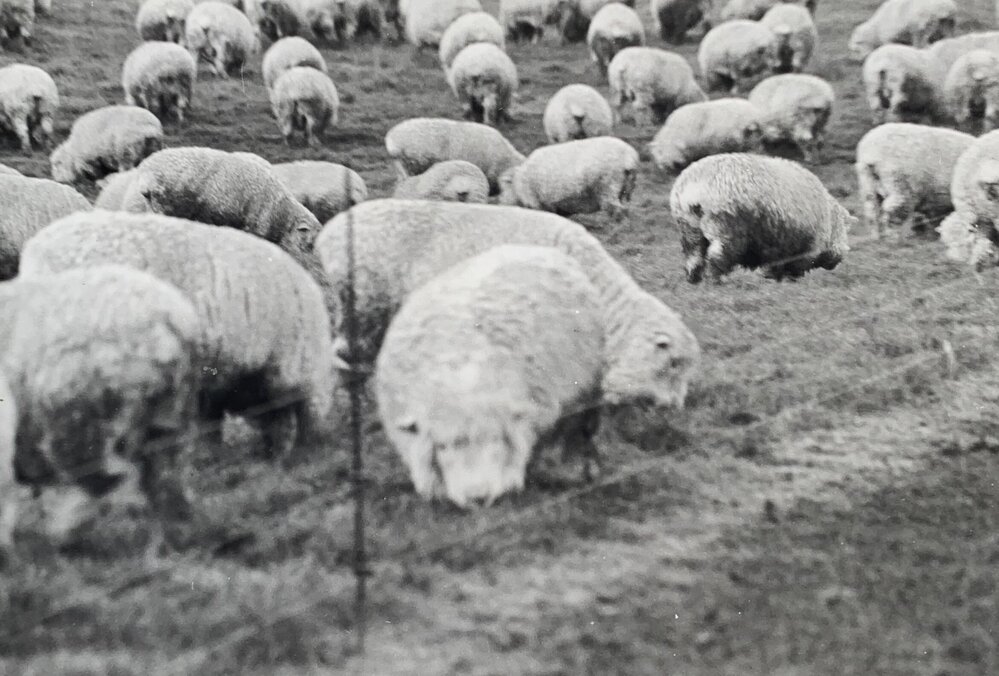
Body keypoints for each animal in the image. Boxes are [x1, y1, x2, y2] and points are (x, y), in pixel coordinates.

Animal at [0, 264, 201, 549]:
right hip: (172, 411)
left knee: (102, 477)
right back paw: (170, 537)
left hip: (80, 412)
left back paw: (65, 533)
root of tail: (170, 318)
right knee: (168, 474)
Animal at [375, 245, 606, 507]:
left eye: (496, 439)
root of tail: (528, 247)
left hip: (585, 387)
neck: (459, 374)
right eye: (442, 446)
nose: (478, 497)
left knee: (579, 427)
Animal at [498, 136, 639, 219]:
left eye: (504, 188)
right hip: (625, 187)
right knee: (624, 208)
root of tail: (629, 156)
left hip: (608, 184)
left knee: (616, 208)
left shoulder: (535, 201)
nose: (500, 202)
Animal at [671, 154, 855, 283]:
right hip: (726, 229)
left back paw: (694, 279)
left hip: (690, 228)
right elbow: (793, 267)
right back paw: (715, 280)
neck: (830, 221)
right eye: (844, 232)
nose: (836, 262)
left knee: (694, 256)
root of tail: (694, 188)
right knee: (717, 256)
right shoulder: (806, 246)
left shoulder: (779, 245)